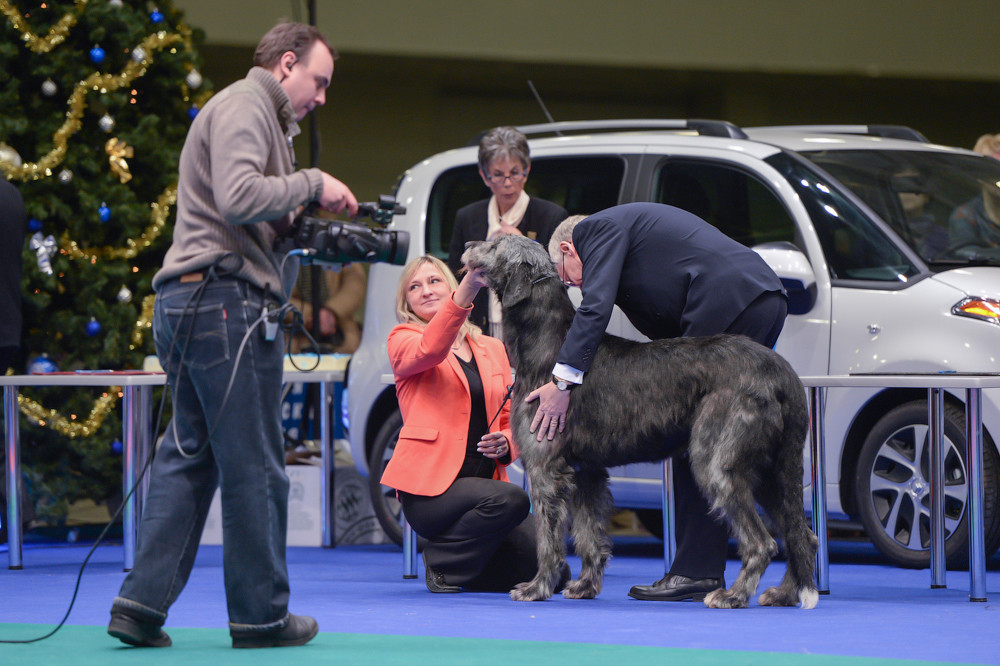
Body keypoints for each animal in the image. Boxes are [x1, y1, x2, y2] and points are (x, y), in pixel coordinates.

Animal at [460, 233, 820, 608]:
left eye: (494, 244)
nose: (468, 244)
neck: (550, 341)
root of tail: (781, 371)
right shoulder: (587, 471)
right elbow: (589, 535)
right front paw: (584, 586)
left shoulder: (546, 468)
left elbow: (549, 538)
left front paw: (536, 587)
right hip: (770, 468)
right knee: (802, 534)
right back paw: (785, 593)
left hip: (721, 461)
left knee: (762, 542)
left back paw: (732, 595)